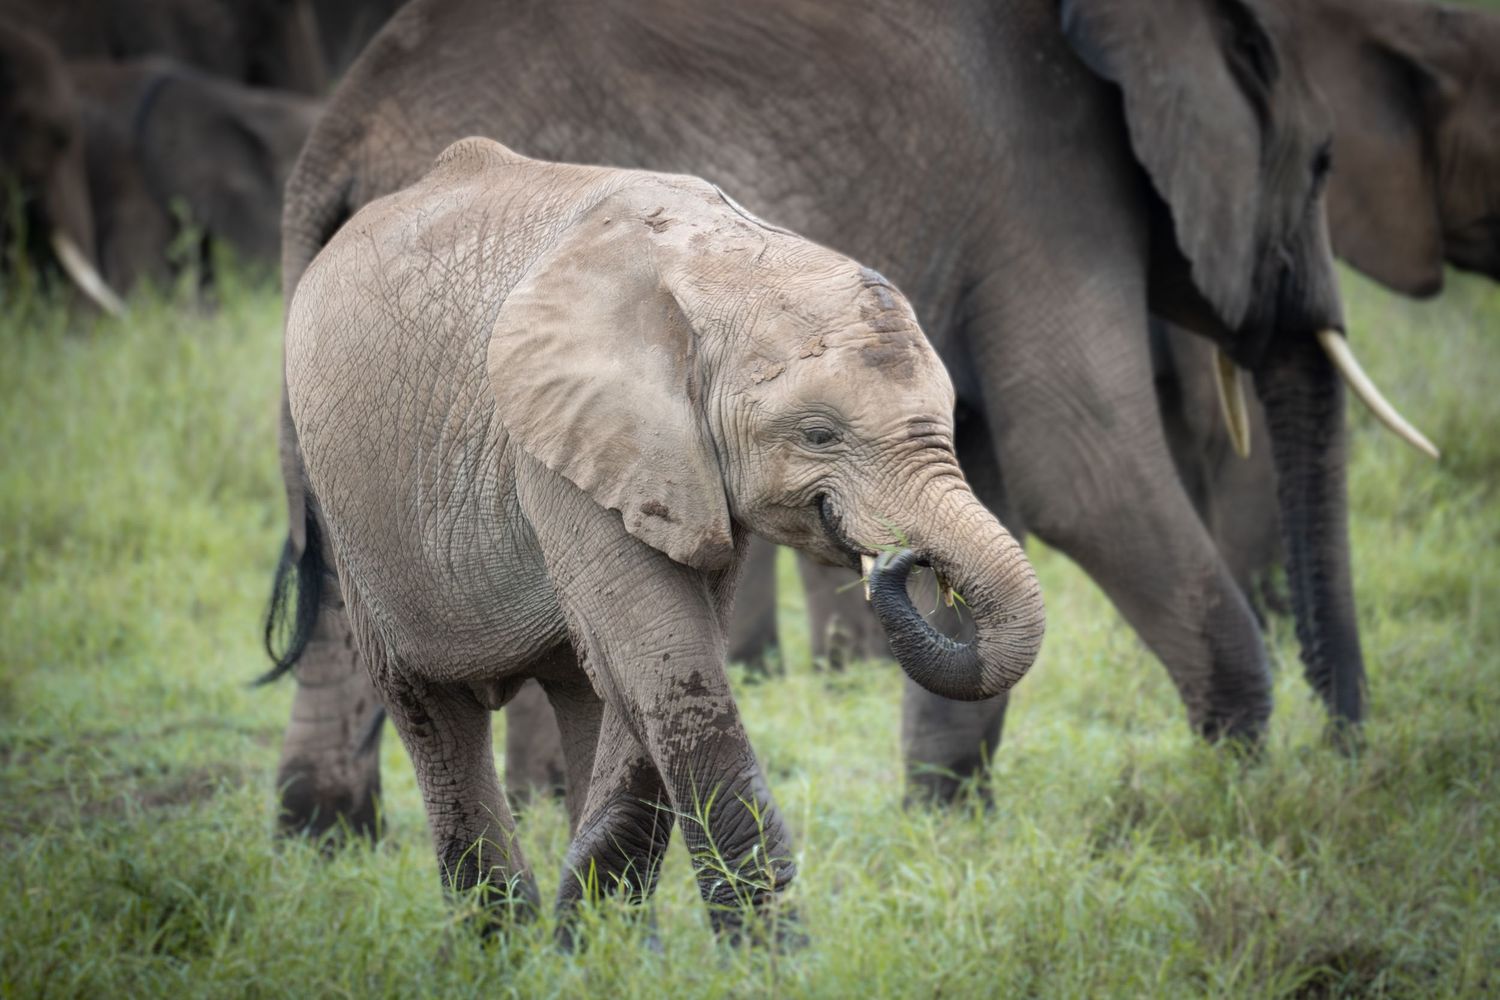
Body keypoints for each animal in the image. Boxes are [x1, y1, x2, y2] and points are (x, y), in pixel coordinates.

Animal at [264, 0, 1400, 838]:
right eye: (1323, 165)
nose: (1350, 751)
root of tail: (337, 135)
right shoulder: (1049, 176)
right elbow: (1077, 471)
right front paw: (1242, 778)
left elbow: (999, 466)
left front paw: (944, 818)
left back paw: (325, 828)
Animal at [281, 135, 1047, 935]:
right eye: (819, 434)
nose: (895, 560)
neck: (727, 265)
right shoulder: (565, 437)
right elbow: (669, 664)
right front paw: (768, 954)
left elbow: (652, 671)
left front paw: (594, 936)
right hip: (347, 499)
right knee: (430, 709)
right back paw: (501, 942)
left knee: (582, 691)